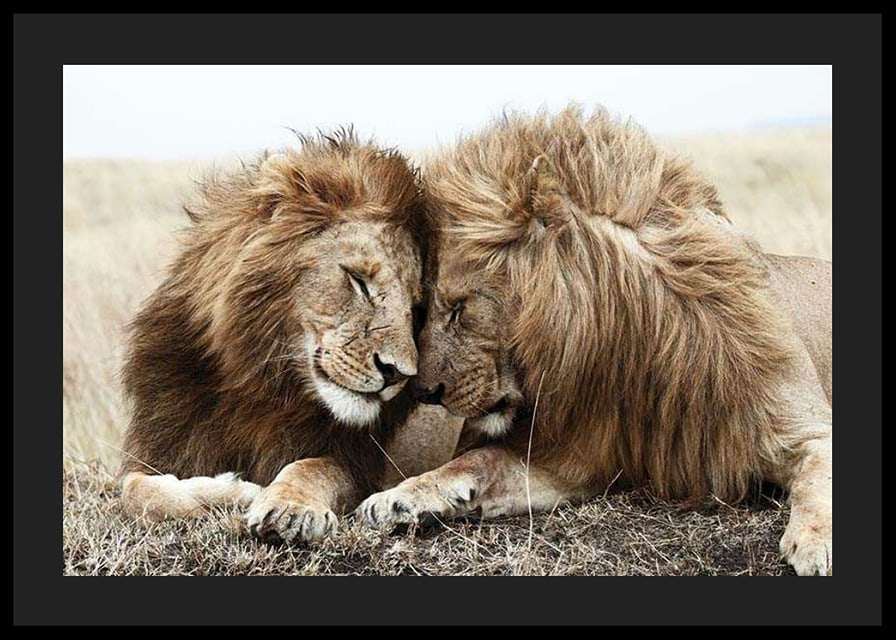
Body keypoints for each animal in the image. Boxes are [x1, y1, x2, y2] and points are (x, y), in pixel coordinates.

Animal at [120, 130, 430, 543]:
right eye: (359, 280)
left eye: (416, 308)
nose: (398, 373)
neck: (260, 385)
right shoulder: (160, 446)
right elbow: (135, 491)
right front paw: (234, 491)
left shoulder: (357, 463)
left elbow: (311, 467)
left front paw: (288, 508)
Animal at [357, 106, 833, 576]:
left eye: (459, 308)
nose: (424, 391)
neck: (634, 345)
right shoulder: (574, 457)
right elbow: (479, 460)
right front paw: (398, 498)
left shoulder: (807, 428)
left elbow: (820, 478)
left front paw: (816, 545)